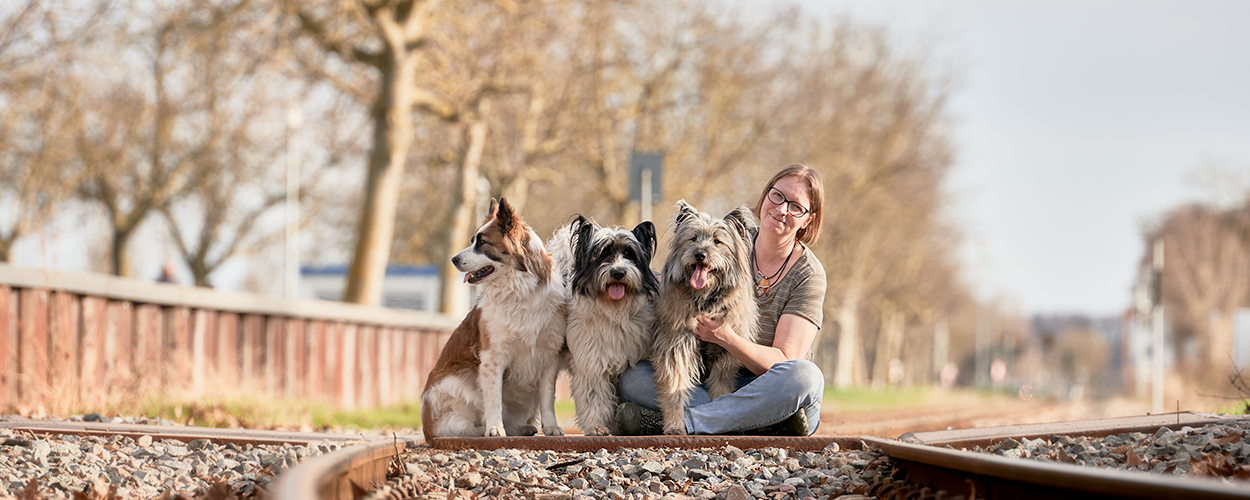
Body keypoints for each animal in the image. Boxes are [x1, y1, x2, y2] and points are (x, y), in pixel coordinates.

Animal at [425, 197, 572, 440]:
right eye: (473, 240)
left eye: (482, 242)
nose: (454, 259)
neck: (520, 290)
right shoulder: (493, 358)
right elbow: (494, 399)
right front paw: (494, 428)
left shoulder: (549, 357)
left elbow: (547, 398)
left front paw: (551, 427)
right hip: (459, 379)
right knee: (454, 425)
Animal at [550, 216, 660, 435]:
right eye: (603, 253)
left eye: (629, 254)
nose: (618, 272)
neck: (614, 311)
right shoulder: (592, 364)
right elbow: (594, 398)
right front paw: (597, 426)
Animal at [655, 198, 760, 432]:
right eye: (693, 238)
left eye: (718, 241)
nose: (700, 255)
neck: (704, 300)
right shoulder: (677, 346)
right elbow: (674, 387)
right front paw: (674, 425)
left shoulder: (725, 352)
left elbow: (722, 391)